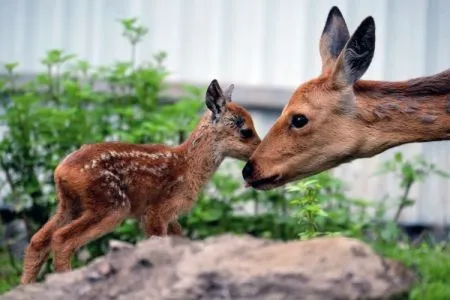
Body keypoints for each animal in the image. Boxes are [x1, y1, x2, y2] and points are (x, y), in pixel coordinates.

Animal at [22, 79, 260, 284]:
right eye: (246, 131)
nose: (259, 150)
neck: (188, 166)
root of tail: (61, 171)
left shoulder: (168, 216)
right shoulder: (156, 211)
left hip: (70, 204)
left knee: (38, 240)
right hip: (110, 204)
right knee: (62, 240)